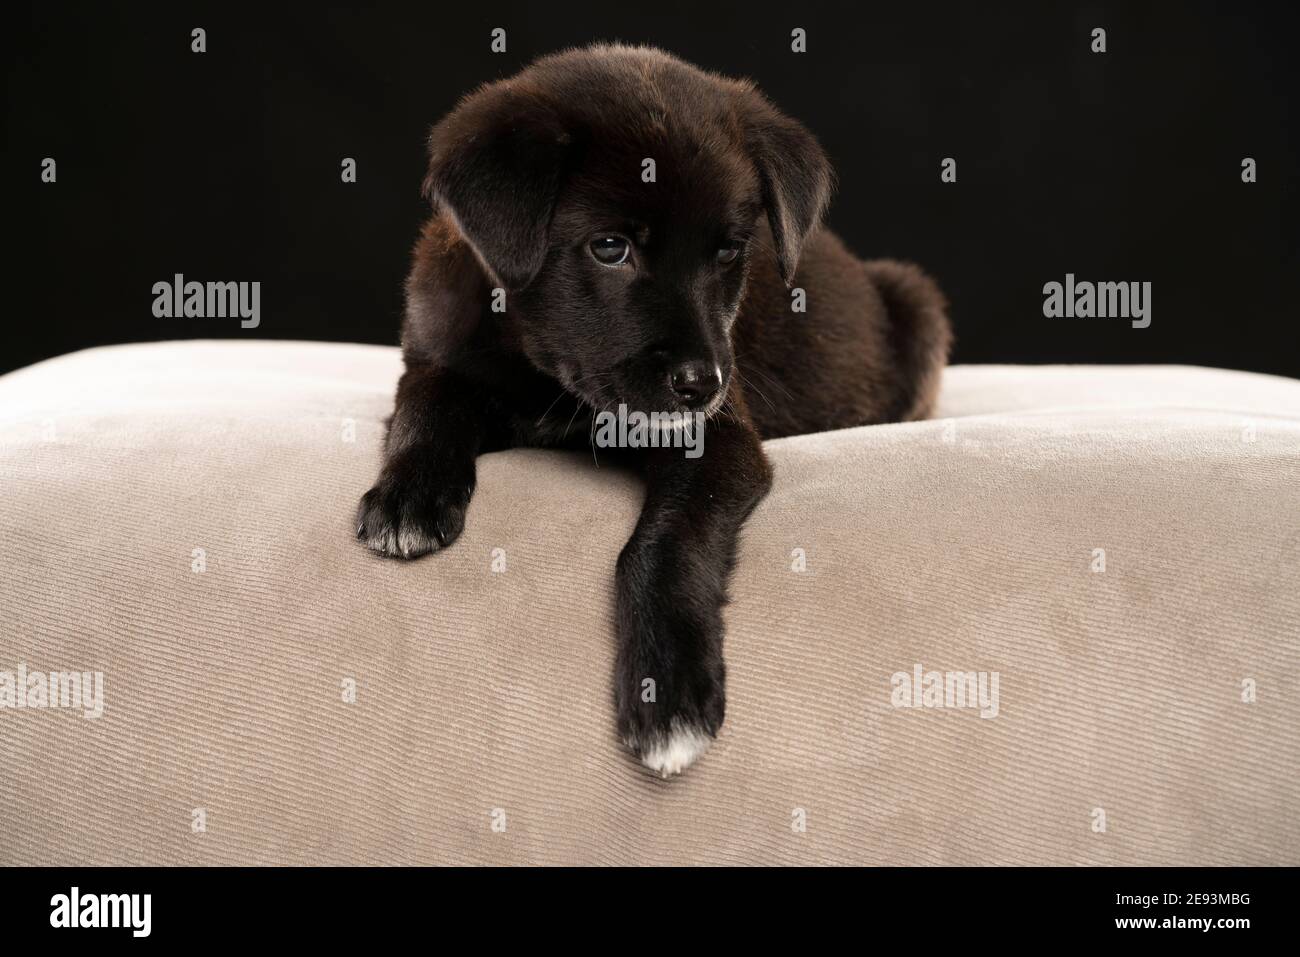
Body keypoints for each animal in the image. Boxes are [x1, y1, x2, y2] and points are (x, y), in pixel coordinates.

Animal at [361, 46, 951, 780]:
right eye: (611, 247)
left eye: (730, 250)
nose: (702, 384)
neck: (543, 375)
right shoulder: (435, 353)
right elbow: (426, 406)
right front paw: (407, 496)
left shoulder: (718, 440)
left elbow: (664, 541)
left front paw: (665, 688)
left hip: (915, 300)